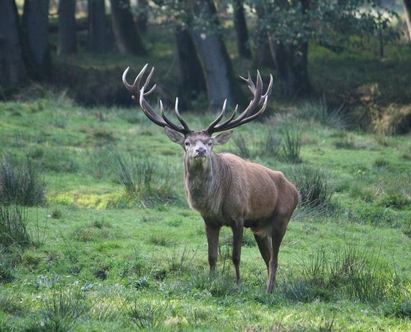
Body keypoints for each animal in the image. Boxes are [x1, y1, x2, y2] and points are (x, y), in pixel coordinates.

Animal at [122, 63, 300, 292]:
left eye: (209, 142)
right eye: (187, 143)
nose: (200, 151)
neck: (216, 201)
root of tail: (296, 191)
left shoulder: (239, 215)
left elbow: (235, 256)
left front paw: (238, 285)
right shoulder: (209, 220)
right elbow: (212, 256)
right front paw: (212, 281)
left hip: (282, 218)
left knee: (274, 258)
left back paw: (269, 290)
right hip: (259, 226)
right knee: (267, 256)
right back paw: (270, 288)